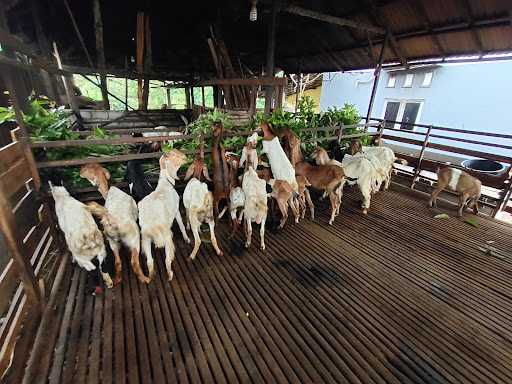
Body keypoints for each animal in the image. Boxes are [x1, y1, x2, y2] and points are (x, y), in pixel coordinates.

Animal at [138, 151, 190, 282]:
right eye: (175, 156)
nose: (186, 158)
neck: (165, 185)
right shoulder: (176, 210)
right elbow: (181, 225)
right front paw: (187, 238)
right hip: (166, 236)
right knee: (167, 260)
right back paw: (170, 274)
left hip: (145, 238)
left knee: (150, 261)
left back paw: (151, 276)